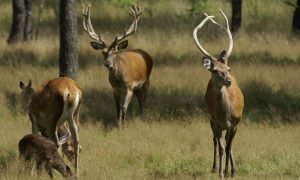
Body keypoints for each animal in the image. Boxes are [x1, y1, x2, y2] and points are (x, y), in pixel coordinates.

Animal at [193, 9, 245, 177]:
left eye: (228, 69)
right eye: (215, 70)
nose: (228, 80)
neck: (225, 114)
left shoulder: (235, 123)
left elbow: (228, 147)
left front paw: (231, 171)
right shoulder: (215, 123)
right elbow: (222, 148)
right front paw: (221, 173)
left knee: (229, 143)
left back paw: (232, 168)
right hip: (210, 119)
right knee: (215, 142)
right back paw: (215, 167)